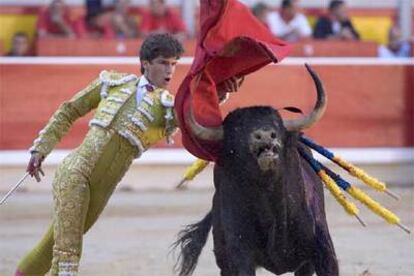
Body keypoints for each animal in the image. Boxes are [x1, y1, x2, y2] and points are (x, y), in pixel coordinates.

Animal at [173, 65, 338, 276]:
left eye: (277, 124)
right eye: (238, 129)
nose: (266, 135)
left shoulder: (323, 250)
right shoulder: (240, 255)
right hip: (223, 258)